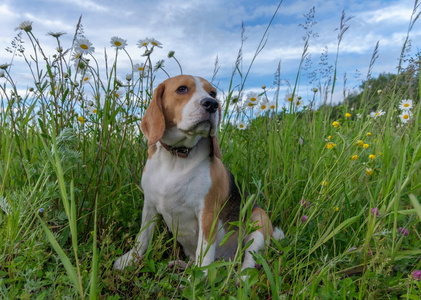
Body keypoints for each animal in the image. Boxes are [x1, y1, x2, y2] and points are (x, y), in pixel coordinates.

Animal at [113, 75, 284, 276]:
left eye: (213, 93)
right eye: (182, 89)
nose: (212, 104)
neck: (177, 156)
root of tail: (225, 261)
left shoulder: (207, 212)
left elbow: (205, 249)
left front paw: (200, 277)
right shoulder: (149, 205)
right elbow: (143, 236)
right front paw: (129, 260)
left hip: (258, 220)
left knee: (250, 257)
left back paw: (241, 277)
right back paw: (181, 265)